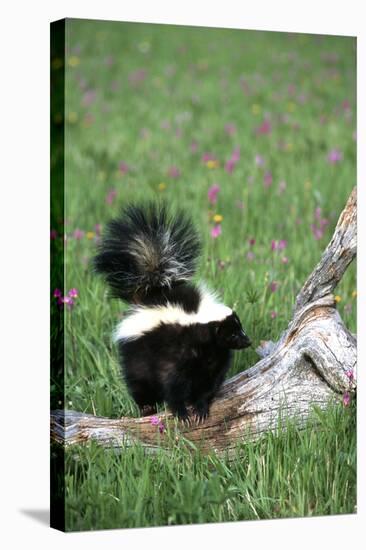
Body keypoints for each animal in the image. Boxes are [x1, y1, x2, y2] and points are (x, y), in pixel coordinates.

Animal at [93, 205, 252, 424]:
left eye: (240, 328)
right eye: (233, 333)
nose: (248, 341)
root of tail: (152, 294)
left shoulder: (214, 359)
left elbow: (208, 384)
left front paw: (200, 408)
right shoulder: (174, 353)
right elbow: (172, 383)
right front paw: (182, 413)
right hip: (137, 353)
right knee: (138, 381)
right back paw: (147, 408)